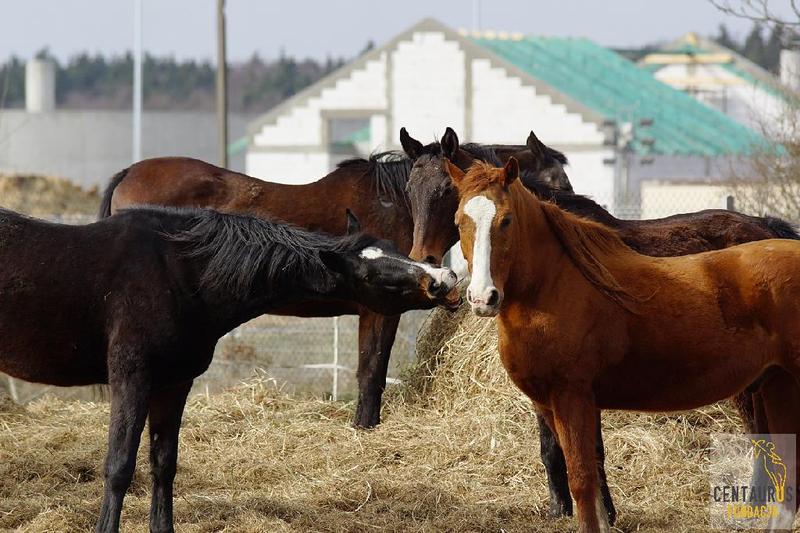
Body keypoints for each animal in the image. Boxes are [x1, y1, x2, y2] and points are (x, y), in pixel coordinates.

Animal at [0, 207, 460, 532]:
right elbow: (119, 468)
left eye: (393, 247)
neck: (180, 272)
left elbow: (163, 465)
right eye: (368, 272)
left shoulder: (174, 384)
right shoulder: (132, 380)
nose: (443, 277)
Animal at [410, 125, 796, 524]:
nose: (424, 260)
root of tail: (765, 225)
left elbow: (586, 451)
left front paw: (598, 511)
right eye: (410, 189)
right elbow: (557, 448)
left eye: (444, 190)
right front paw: (565, 508)